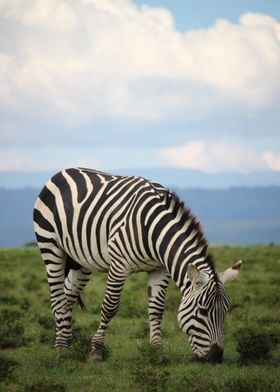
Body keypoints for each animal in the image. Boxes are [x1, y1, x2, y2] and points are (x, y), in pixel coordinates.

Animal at [34, 167, 242, 362]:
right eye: (203, 311)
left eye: (226, 312)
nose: (216, 358)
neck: (154, 232)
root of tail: (64, 171)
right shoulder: (119, 264)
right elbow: (109, 307)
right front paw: (96, 351)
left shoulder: (160, 269)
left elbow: (157, 309)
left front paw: (157, 351)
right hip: (50, 246)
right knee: (57, 298)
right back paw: (61, 348)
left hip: (81, 261)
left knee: (68, 296)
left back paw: (66, 341)